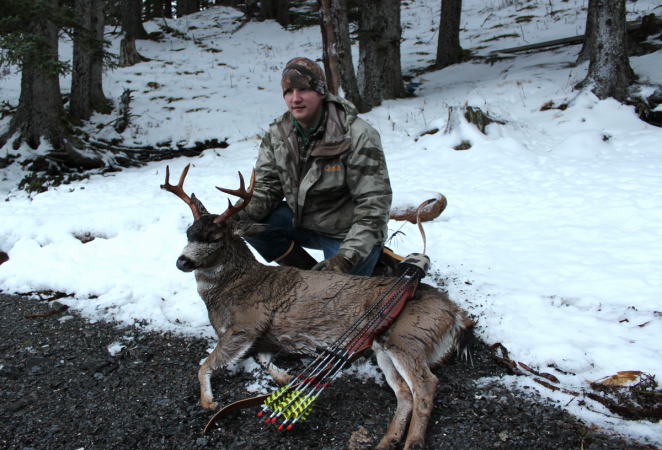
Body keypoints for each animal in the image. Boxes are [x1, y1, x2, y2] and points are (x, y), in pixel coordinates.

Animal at [161, 163, 474, 450]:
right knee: (405, 393)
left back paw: (413, 442)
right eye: (188, 233)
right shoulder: (261, 336)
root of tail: (456, 314)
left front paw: (209, 402)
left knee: (426, 384)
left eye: (215, 238)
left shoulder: (246, 324)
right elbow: (263, 358)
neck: (234, 286)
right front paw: (285, 377)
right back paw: (388, 440)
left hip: (408, 335)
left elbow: (205, 365)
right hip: (383, 345)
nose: (182, 262)